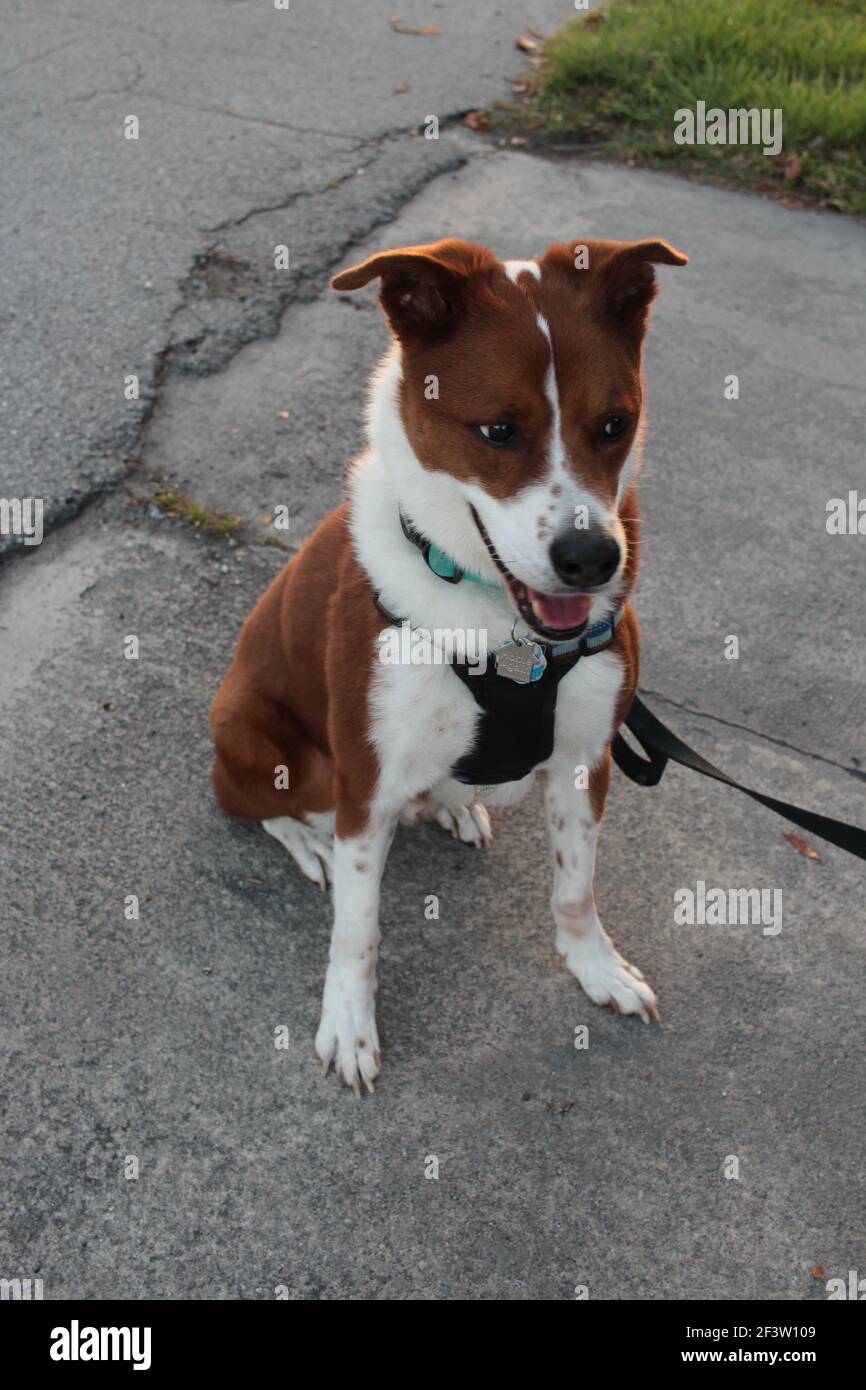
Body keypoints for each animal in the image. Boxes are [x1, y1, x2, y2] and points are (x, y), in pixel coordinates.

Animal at [208, 233, 683, 1089]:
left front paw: (594, 968)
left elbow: (575, 888)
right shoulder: (365, 783)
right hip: (264, 741)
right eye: (497, 431)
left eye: (614, 423)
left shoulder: (585, 759)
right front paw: (348, 1025)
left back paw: (453, 804)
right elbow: (356, 930)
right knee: (250, 803)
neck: (507, 633)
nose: (591, 561)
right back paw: (309, 841)